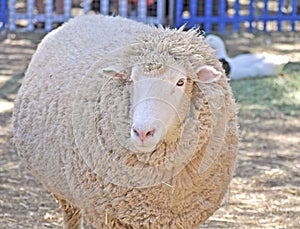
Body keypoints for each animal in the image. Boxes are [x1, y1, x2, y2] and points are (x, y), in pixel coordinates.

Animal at [12, 14, 239, 229]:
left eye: (180, 82)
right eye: (132, 79)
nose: (142, 132)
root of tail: (85, 16)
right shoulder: (107, 216)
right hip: (65, 191)